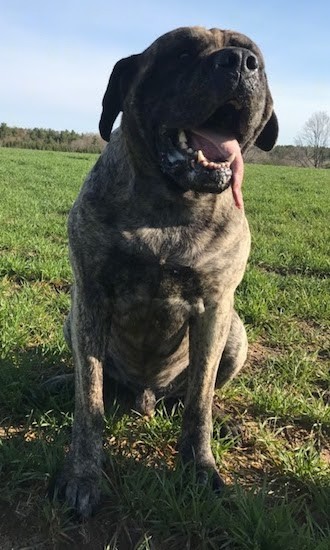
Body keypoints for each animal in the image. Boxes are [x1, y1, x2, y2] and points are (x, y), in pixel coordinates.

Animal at [55, 25, 278, 520]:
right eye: (179, 53)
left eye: (253, 54)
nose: (239, 63)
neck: (172, 205)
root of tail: (146, 397)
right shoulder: (91, 297)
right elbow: (89, 399)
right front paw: (83, 476)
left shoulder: (215, 308)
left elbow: (199, 402)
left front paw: (200, 468)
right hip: (72, 319)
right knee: (95, 382)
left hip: (236, 333)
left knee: (196, 394)